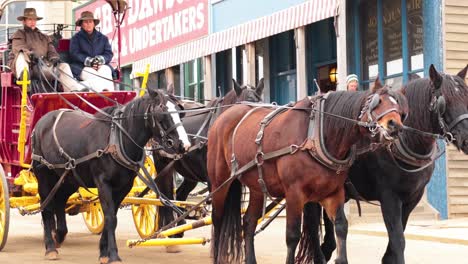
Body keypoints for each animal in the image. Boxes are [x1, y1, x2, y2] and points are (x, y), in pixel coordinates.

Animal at [31, 87, 190, 262]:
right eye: (162, 113)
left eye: (181, 112)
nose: (183, 145)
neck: (116, 140)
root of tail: (42, 122)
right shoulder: (103, 183)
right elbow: (110, 218)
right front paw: (113, 255)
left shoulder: (123, 186)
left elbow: (112, 217)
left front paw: (103, 252)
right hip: (44, 175)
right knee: (46, 207)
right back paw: (50, 247)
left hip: (69, 178)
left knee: (59, 200)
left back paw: (59, 235)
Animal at [153, 78, 264, 250]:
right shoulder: (214, 181)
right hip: (162, 165)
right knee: (165, 197)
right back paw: (168, 233)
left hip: (190, 173)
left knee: (180, 195)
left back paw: (179, 229)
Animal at [207, 81, 408, 264]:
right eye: (377, 102)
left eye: (398, 106)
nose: (395, 125)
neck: (316, 135)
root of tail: (224, 116)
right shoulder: (294, 193)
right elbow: (292, 235)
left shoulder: (333, 193)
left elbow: (341, 226)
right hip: (219, 182)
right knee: (217, 219)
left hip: (256, 186)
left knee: (248, 222)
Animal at [298, 64, 468, 264]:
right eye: (444, 102)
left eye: (466, 97)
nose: (467, 138)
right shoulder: (389, 197)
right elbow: (398, 240)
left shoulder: (412, 198)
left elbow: (397, 238)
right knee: (312, 224)